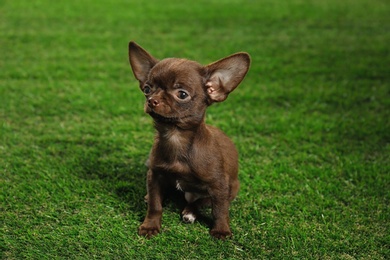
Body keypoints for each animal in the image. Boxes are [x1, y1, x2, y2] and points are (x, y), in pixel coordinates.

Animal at [128, 41, 250, 240]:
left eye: (182, 94)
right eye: (147, 89)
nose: (152, 100)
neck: (175, 136)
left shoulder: (219, 185)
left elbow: (220, 210)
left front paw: (221, 230)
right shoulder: (155, 175)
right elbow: (155, 205)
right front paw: (150, 225)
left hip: (231, 188)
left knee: (201, 201)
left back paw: (190, 212)